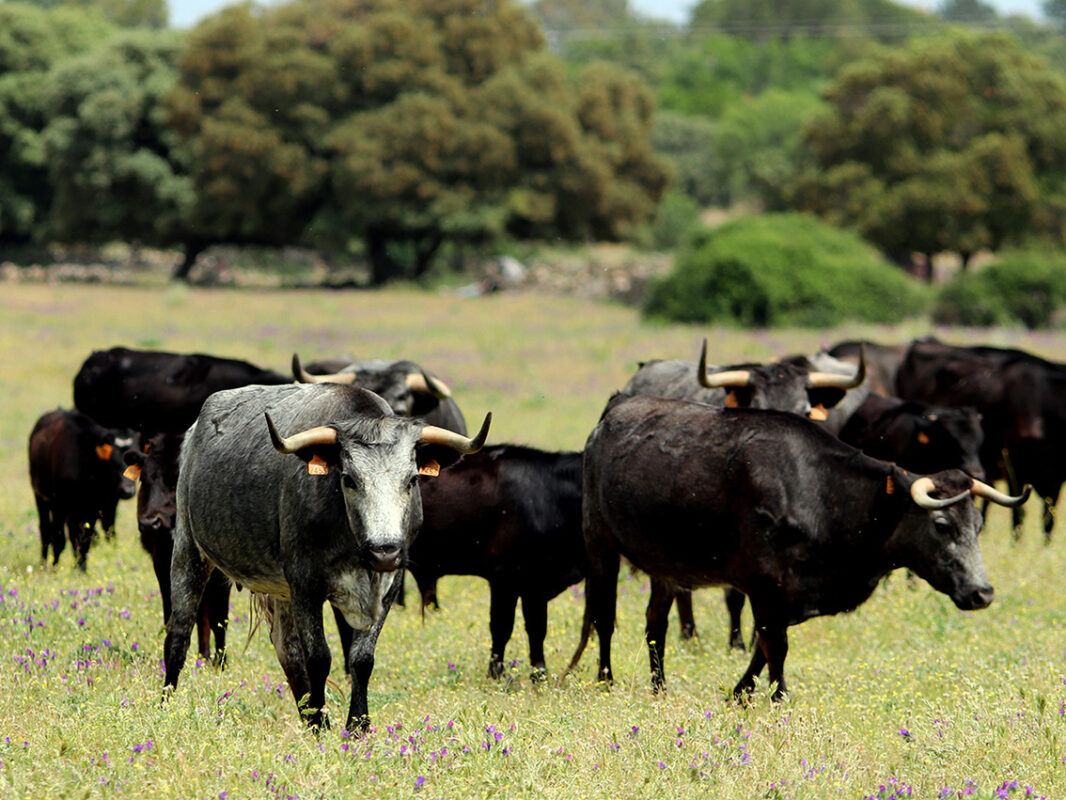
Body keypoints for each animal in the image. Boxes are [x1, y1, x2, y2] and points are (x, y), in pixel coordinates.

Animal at [163, 386, 490, 738]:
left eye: (412, 480)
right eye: (349, 479)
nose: (384, 551)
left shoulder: (388, 587)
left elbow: (361, 659)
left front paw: (357, 725)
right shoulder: (306, 584)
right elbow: (319, 657)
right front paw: (321, 725)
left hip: (280, 590)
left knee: (288, 651)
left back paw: (307, 714)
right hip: (188, 551)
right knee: (178, 634)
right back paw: (165, 704)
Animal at [571, 394, 1027, 699]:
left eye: (978, 524)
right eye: (942, 524)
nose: (982, 593)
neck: (819, 491)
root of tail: (617, 408)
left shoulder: (784, 596)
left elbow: (764, 648)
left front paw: (741, 692)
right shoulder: (765, 585)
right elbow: (775, 646)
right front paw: (777, 697)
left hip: (666, 567)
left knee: (655, 625)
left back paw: (659, 687)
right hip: (599, 545)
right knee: (604, 617)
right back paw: (605, 679)